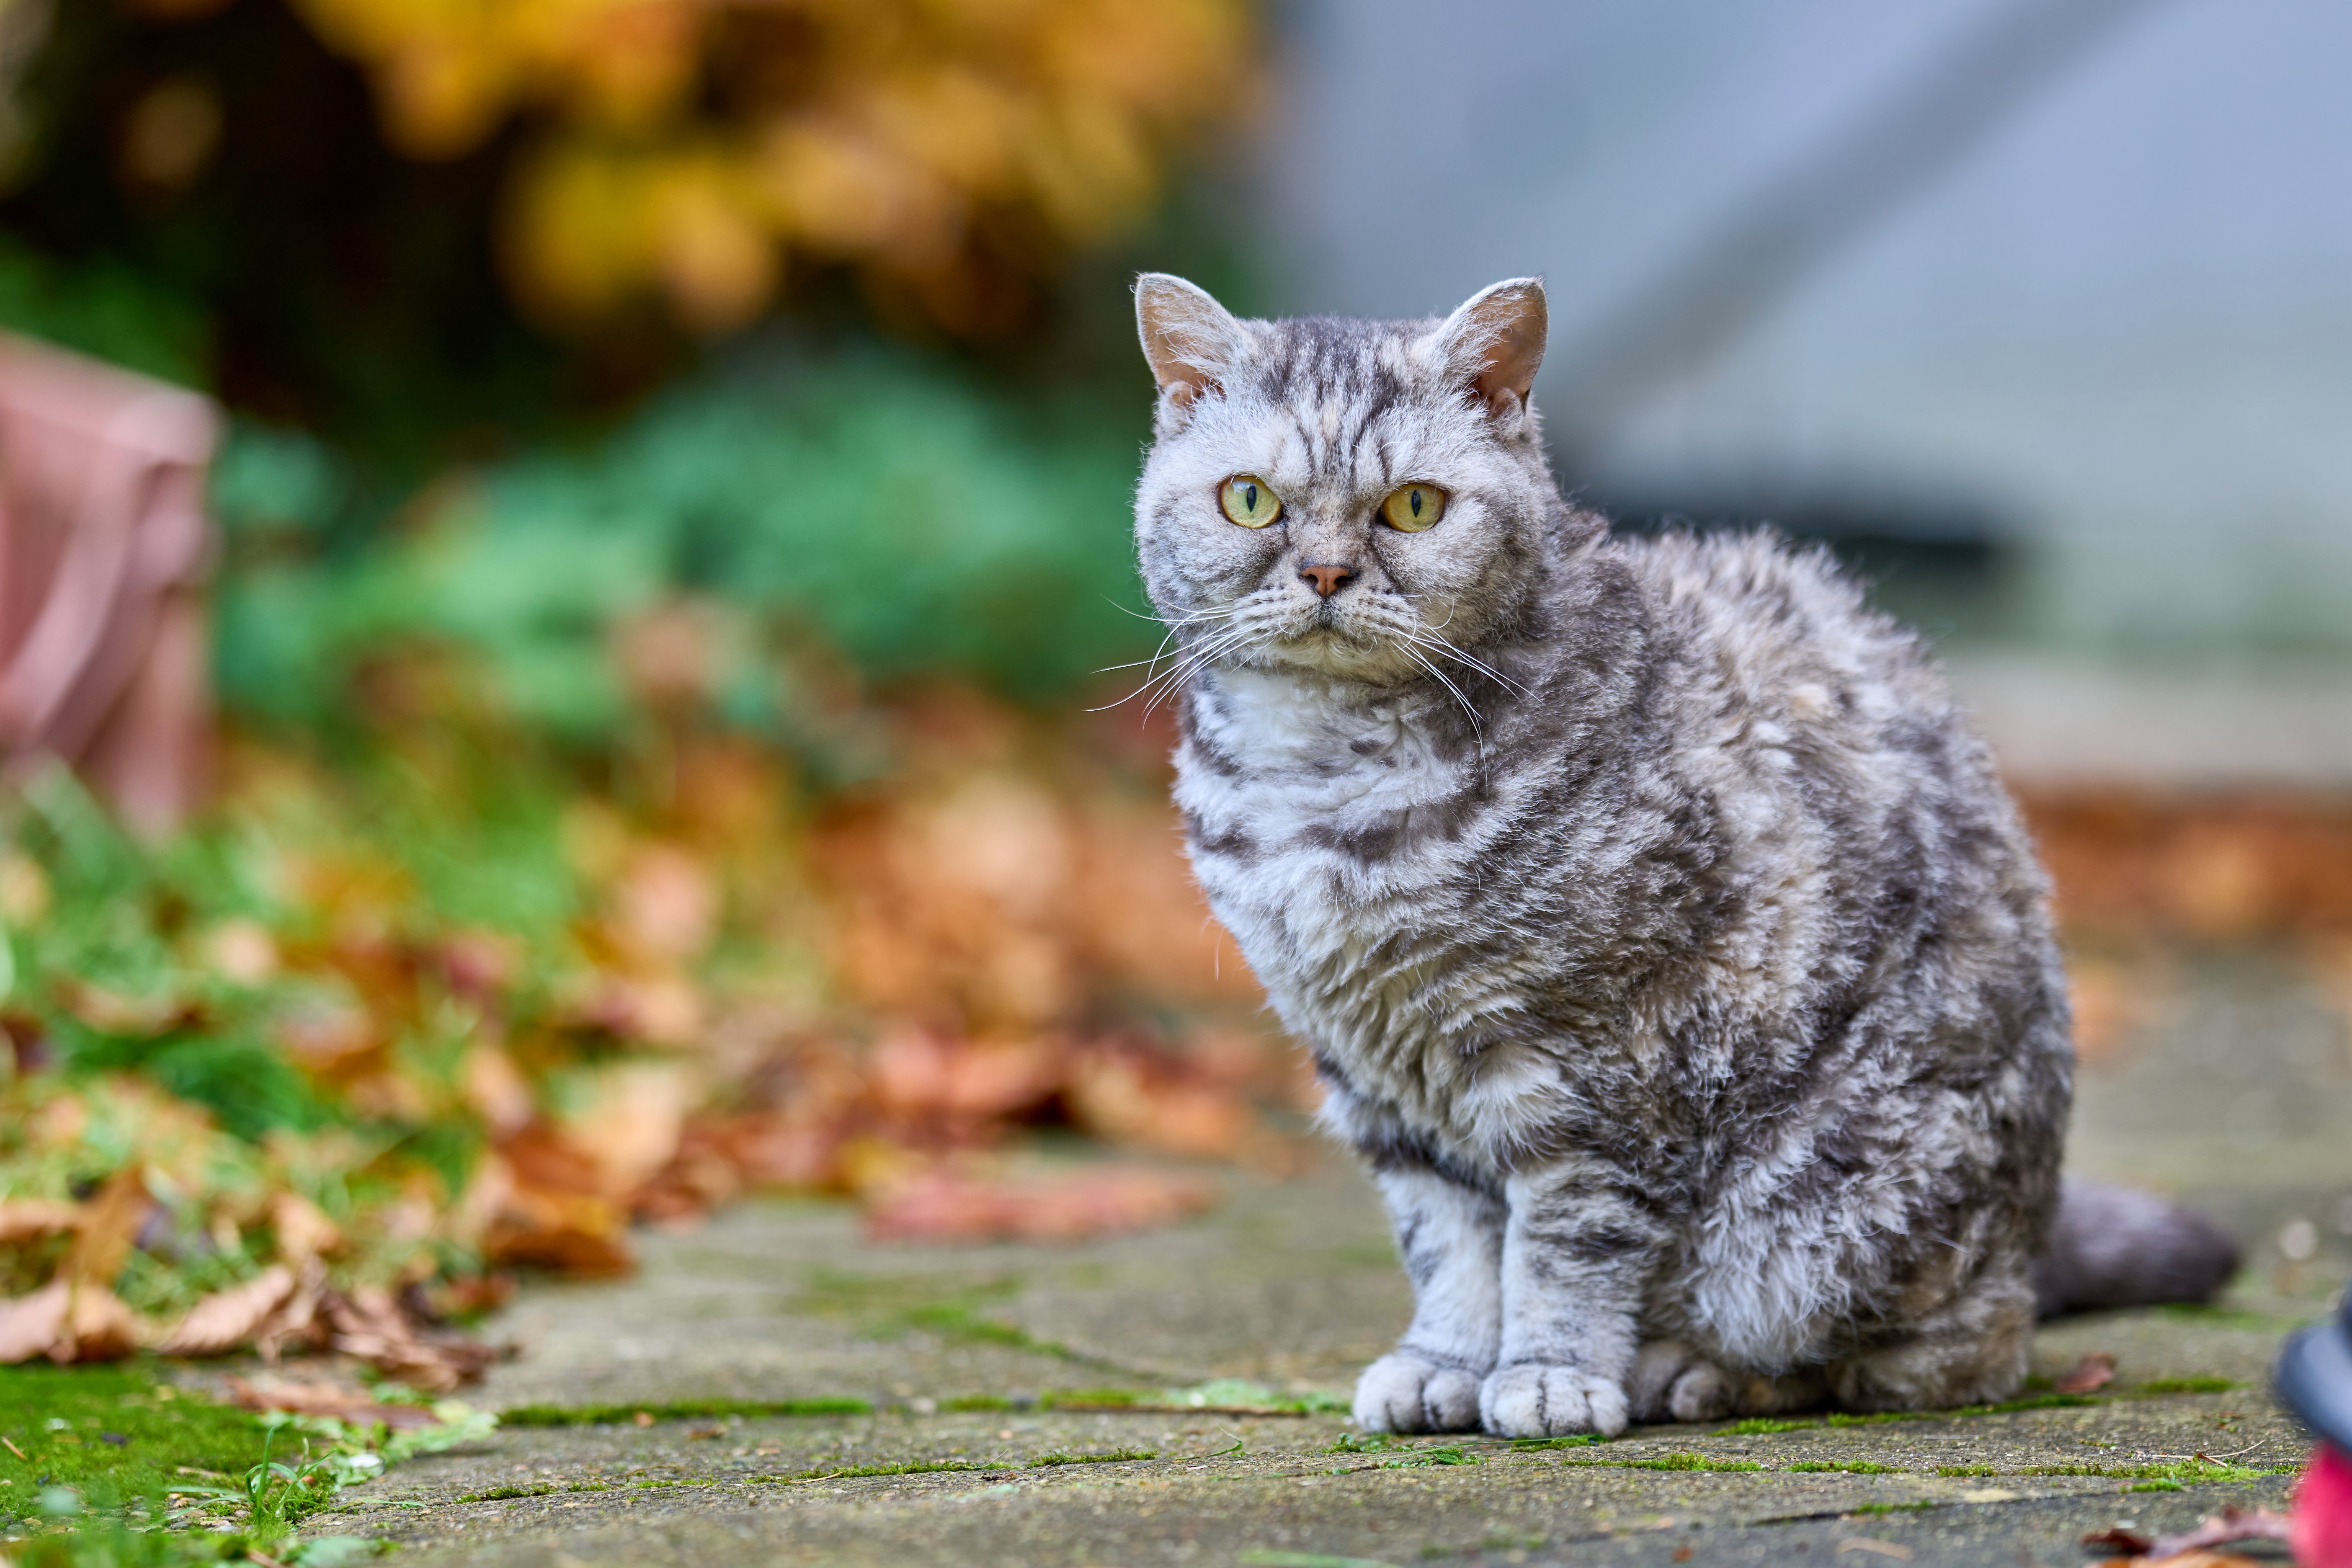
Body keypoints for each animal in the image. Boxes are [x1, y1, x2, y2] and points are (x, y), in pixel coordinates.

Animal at [1129, 273, 2229, 1439]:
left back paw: (1691, 1369)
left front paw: (1551, 1372)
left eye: (1414, 507)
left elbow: (1565, 1243)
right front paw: (1444, 1361)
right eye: (1251, 500)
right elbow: (1447, 1243)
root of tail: (2032, 1232)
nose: (1328, 570)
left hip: (1813, 1227)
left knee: (1919, 1355)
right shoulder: (1375, 1074)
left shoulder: (1603, 1067)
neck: (1323, 778)